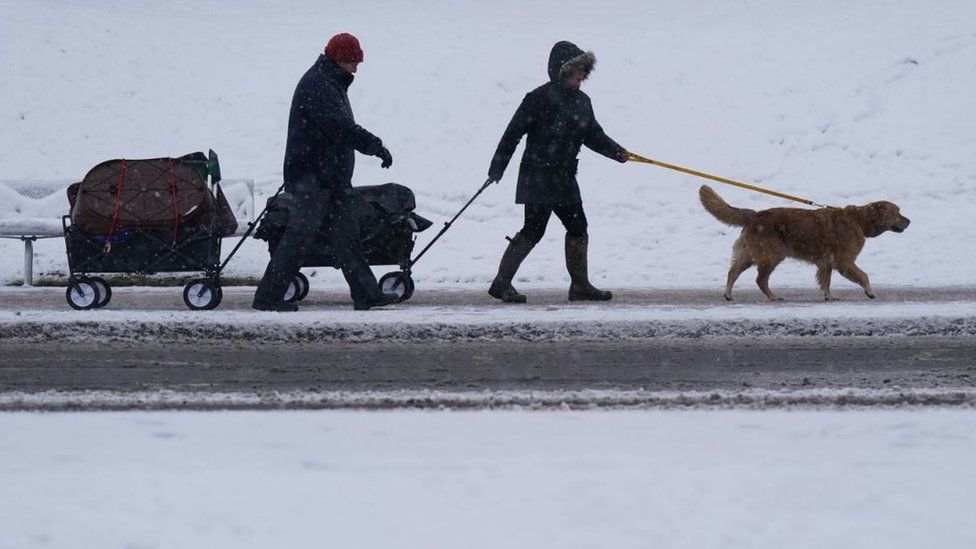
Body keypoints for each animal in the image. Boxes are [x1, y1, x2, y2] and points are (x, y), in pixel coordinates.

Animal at [696, 184, 912, 300]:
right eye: (897, 212)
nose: (909, 220)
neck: (859, 220)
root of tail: (754, 215)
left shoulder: (826, 264)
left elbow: (826, 282)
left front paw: (829, 297)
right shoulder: (844, 261)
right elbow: (863, 275)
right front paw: (870, 292)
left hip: (749, 255)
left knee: (733, 272)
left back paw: (729, 294)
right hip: (771, 256)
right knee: (760, 280)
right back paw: (773, 297)